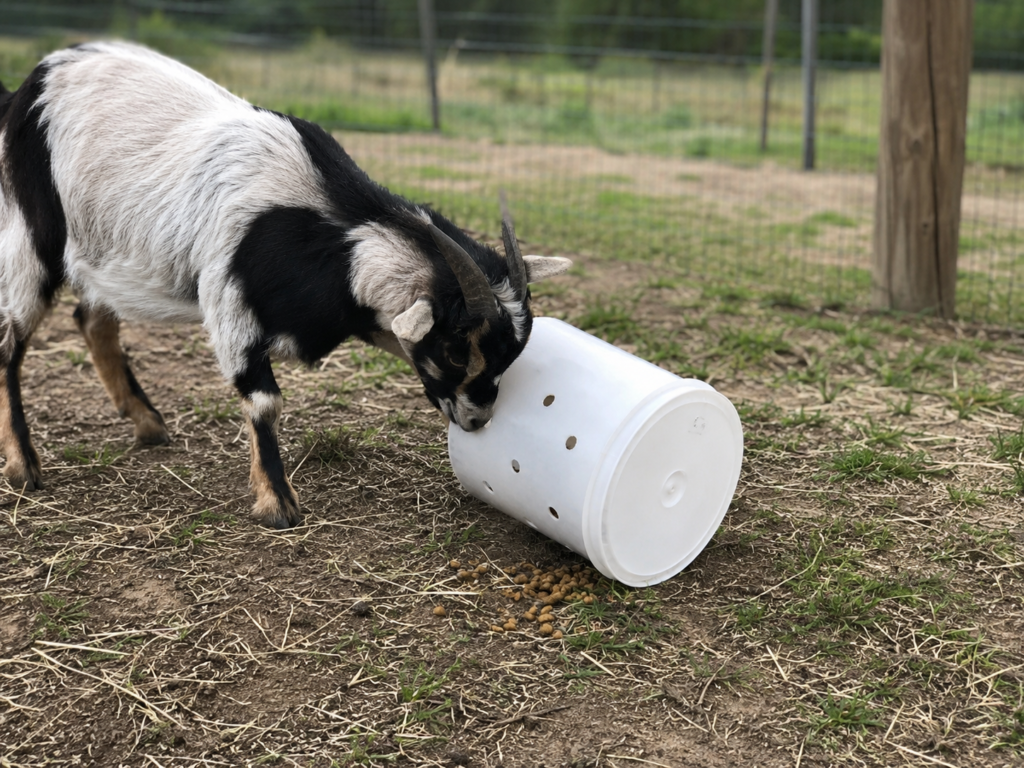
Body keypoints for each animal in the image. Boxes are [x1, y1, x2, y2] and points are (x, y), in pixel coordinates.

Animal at [0, 42, 571, 528]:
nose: (477, 419)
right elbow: (264, 401)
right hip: (33, 236)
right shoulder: (228, 297)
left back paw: (146, 422)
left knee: (91, 318)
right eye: (455, 351)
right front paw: (277, 503)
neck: (327, 225)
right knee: (12, 341)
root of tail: (28, 86)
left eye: (510, 355)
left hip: (102, 254)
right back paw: (25, 466)